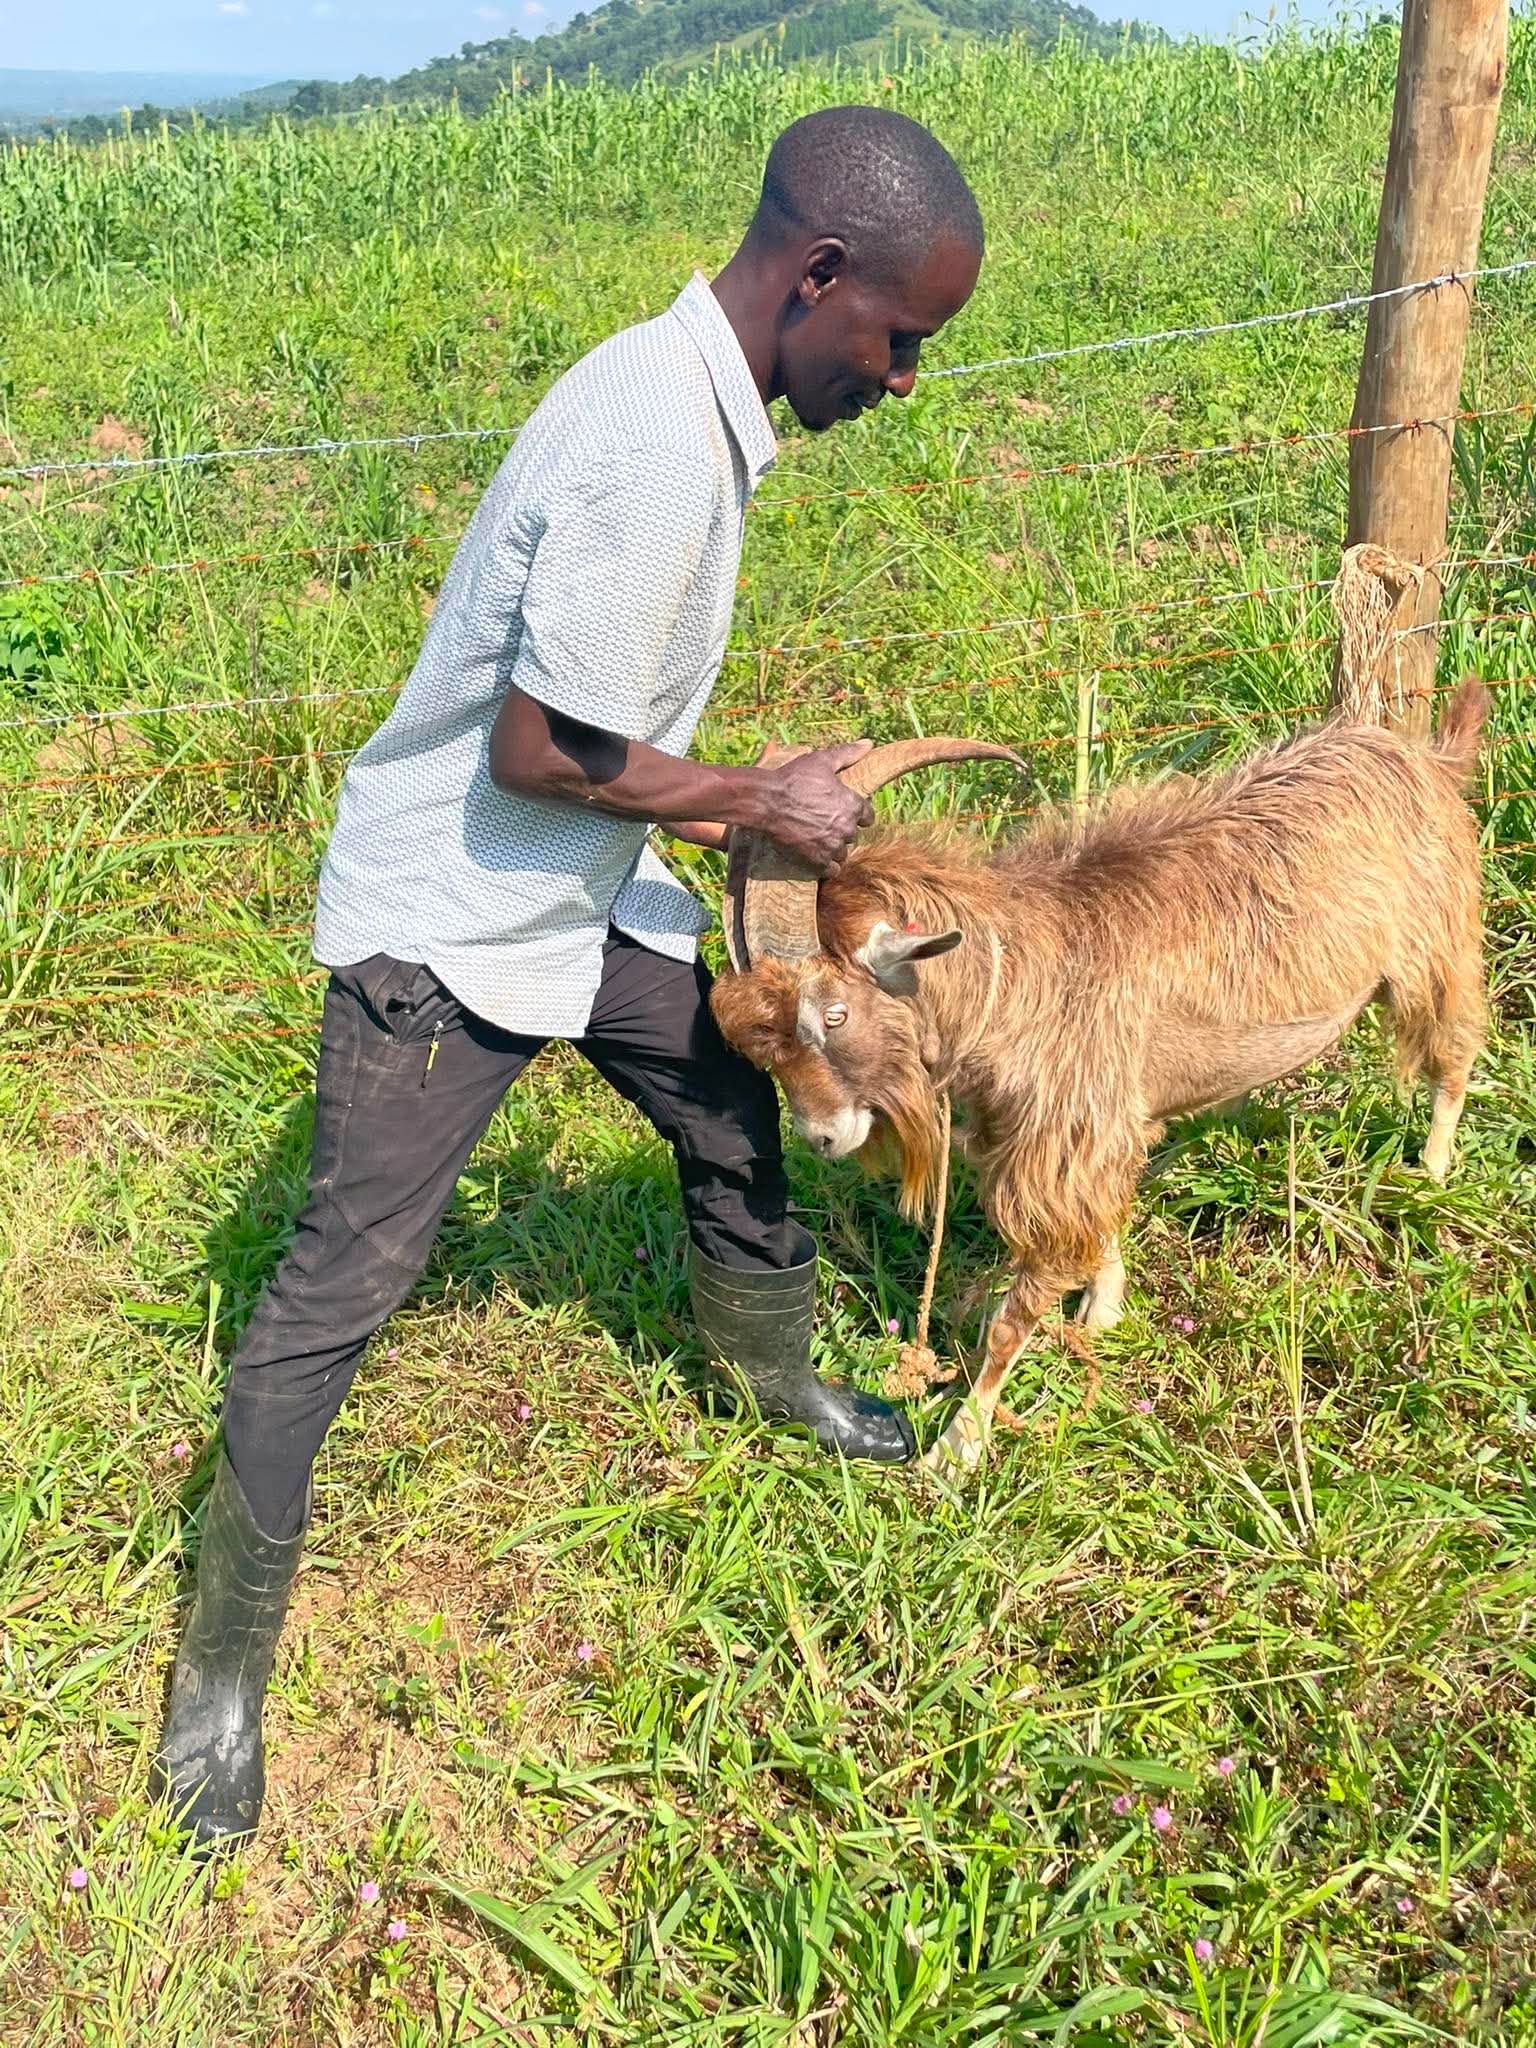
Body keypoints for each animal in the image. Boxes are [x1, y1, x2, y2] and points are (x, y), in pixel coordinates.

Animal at [710, 687, 1488, 1473]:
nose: (821, 1136)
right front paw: (1103, 1311)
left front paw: (955, 1453)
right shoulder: (1088, 1130)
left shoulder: (1064, 1141)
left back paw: (1431, 1174)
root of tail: (1424, 755)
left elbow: (1013, 1317)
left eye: (833, 1014)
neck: (1021, 980)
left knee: (1453, 1054)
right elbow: (1103, 1221)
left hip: (1437, 944)